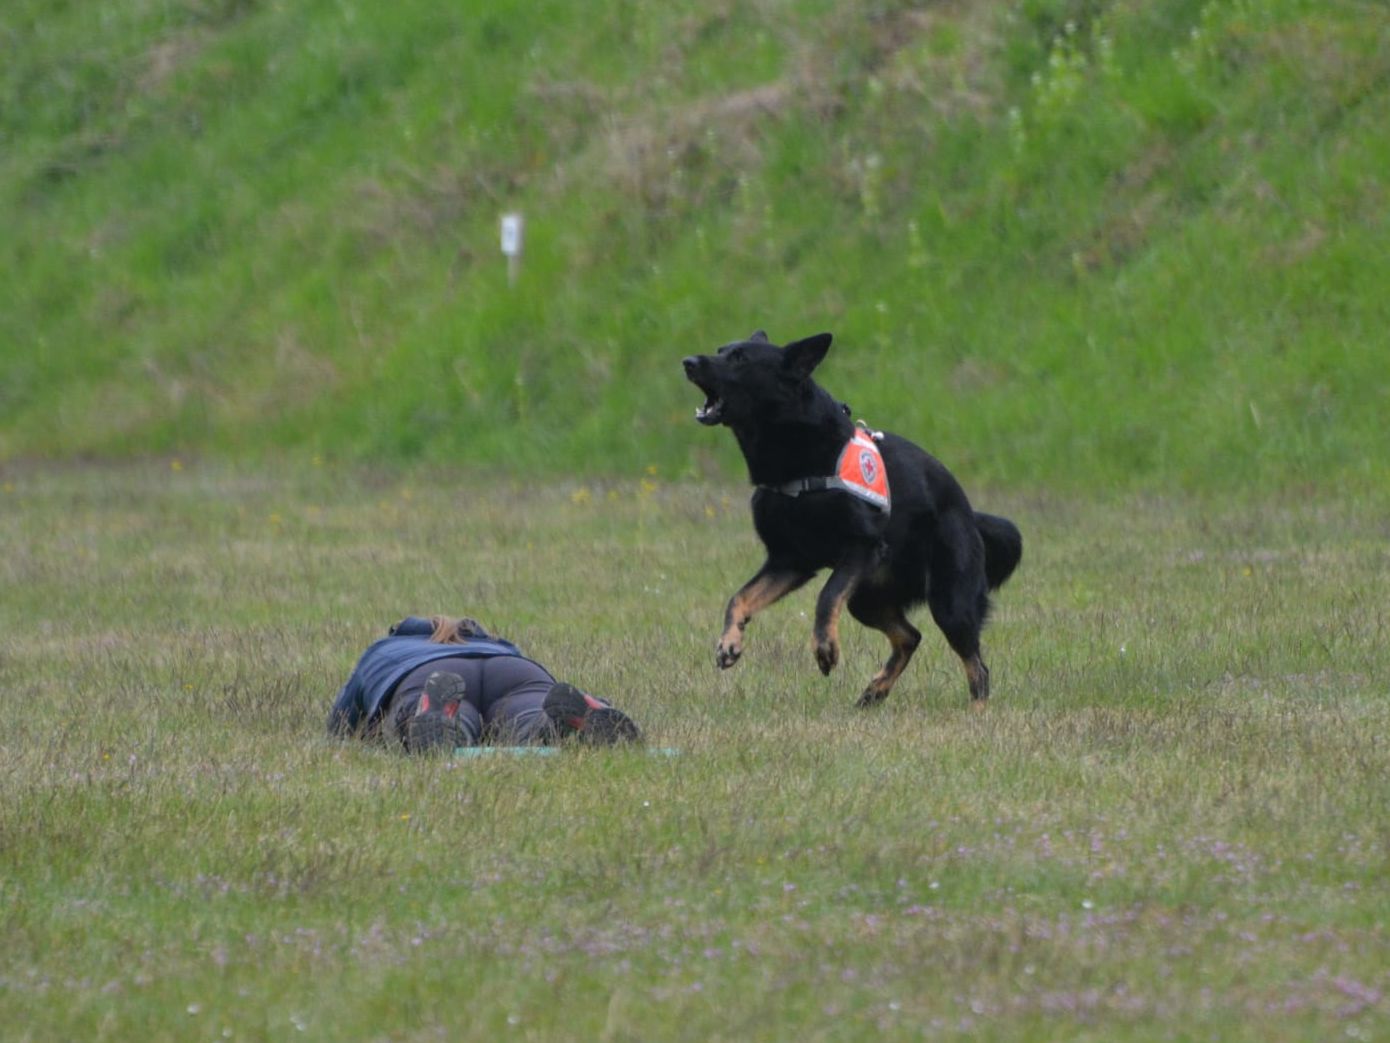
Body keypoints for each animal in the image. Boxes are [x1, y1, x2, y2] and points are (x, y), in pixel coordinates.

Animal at [683, 332, 1023, 712]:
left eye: (740, 358)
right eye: (721, 350)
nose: (688, 362)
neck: (799, 462)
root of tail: (968, 513)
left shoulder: (861, 548)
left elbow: (826, 595)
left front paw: (825, 648)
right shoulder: (789, 562)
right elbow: (739, 597)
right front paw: (729, 642)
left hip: (949, 602)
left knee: (977, 664)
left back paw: (977, 711)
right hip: (866, 599)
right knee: (911, 636)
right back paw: (875, 691)